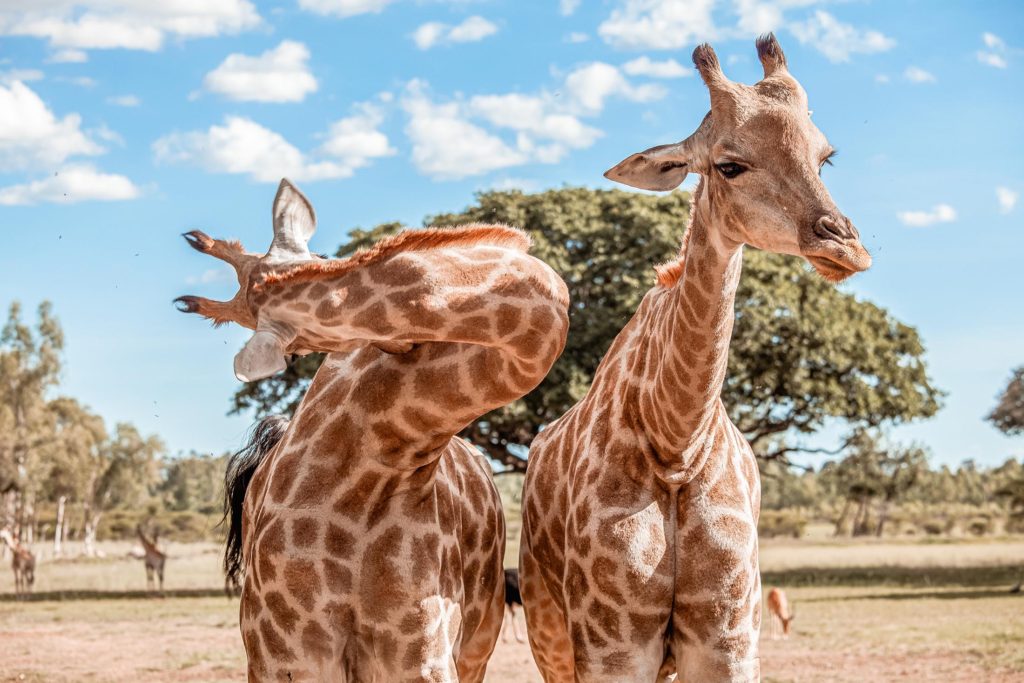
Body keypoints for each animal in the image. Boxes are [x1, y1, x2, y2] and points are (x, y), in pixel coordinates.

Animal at [520, 36, 872, 683]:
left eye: (825, 157)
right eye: (729, 165)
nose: (846, 248)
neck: (675, 441)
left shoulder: (727, 637)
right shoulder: (613, 646)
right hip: (550, 633)